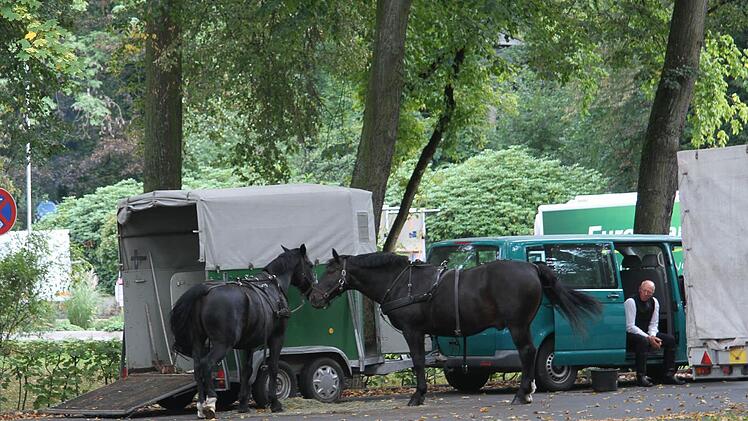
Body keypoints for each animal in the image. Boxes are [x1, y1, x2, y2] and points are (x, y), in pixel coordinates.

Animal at [170, 245, 315, 419]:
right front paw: (275, 403)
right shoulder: (277, 338)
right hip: (222, 344)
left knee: (198, 368)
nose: (314, 288)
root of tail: (206, 291)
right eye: (310, 265)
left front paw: (243, 404)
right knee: (207, 364)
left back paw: (200, 406)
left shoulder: (249, 345)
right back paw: (210, 402)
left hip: (198, 341)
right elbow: (273, 367)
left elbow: (247, 371)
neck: (273, 287)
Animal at [308, 250, 601, 407]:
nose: (314, 297)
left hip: (518, 325)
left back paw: (522, 394)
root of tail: (531, 267)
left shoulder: (413, 331)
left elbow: (417, 362)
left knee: (528, 353)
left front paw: (418, 396)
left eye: (331, 272)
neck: (401, 283)